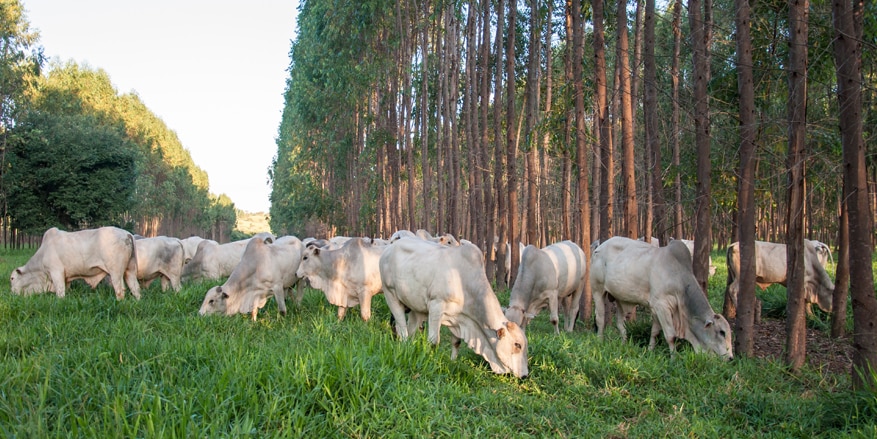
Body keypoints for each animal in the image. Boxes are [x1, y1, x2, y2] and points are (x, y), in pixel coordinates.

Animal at [10, 229, 141, 300]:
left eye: (12, 278)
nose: (12, 294)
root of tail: (127, 234)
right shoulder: (66, 278)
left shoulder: (56, 272)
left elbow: (60, 292)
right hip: (130, 270)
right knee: (135, 288)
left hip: (115, 272)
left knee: (120, 290)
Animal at [378, 237, 528, 378]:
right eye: (517, 345)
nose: (525, 375)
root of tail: (388, 249)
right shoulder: (436, 305)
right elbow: (433, 341)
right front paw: (432, 361)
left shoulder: (458, 318)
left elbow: (456, 342)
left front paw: (453, 362)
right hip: (390, 294)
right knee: (402, 328)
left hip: (415, 307)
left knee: (411, 330)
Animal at [588, 237, 732, 360]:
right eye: (722, 332)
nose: (730, 358)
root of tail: (599, 247)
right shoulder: (662, 306)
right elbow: (671, 335)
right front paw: (673, 359)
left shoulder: (656, 308)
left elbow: (655, 332)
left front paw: (650, 350)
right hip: (597, 290)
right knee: (600, 318)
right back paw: (600, 341)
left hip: (619, 298)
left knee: (620, 323)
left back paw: (624, 344)